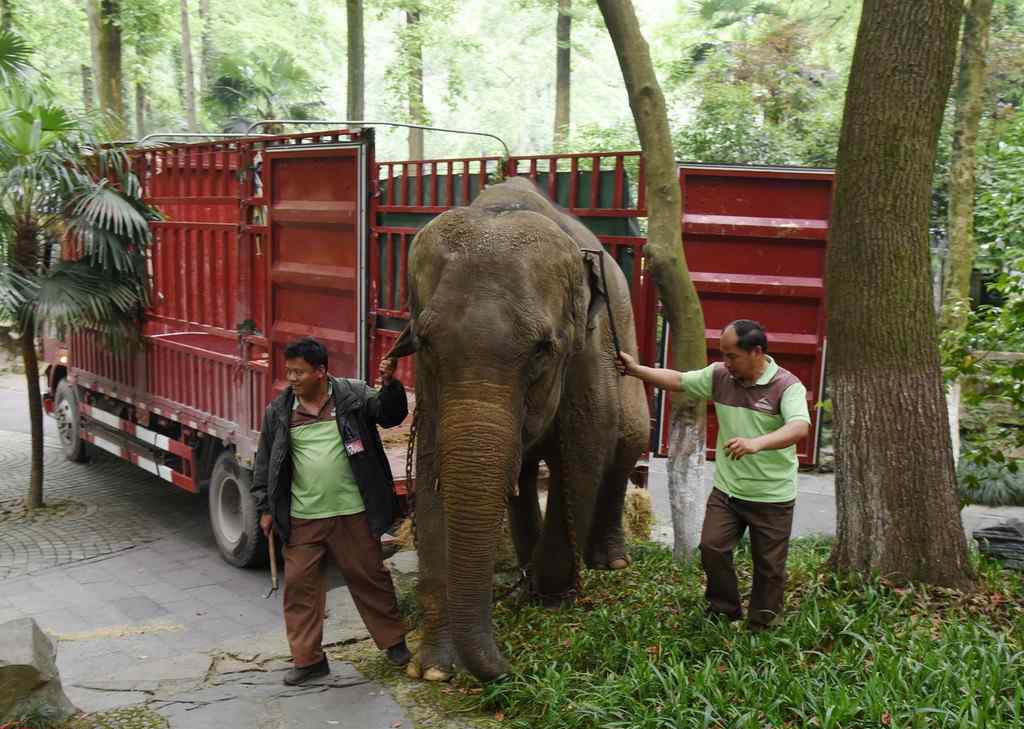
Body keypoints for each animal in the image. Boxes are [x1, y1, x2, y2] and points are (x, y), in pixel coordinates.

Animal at [387, 175, 651, 683]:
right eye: (423, 342)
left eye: (543, 349)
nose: (509, 672)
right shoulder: (431, 392)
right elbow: (432, 471)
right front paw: (433, 670)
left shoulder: (587, 353)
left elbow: (585, 449)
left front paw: (547, 595)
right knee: (525, 473)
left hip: (625, 331)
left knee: (629, 436)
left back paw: (609, 560)